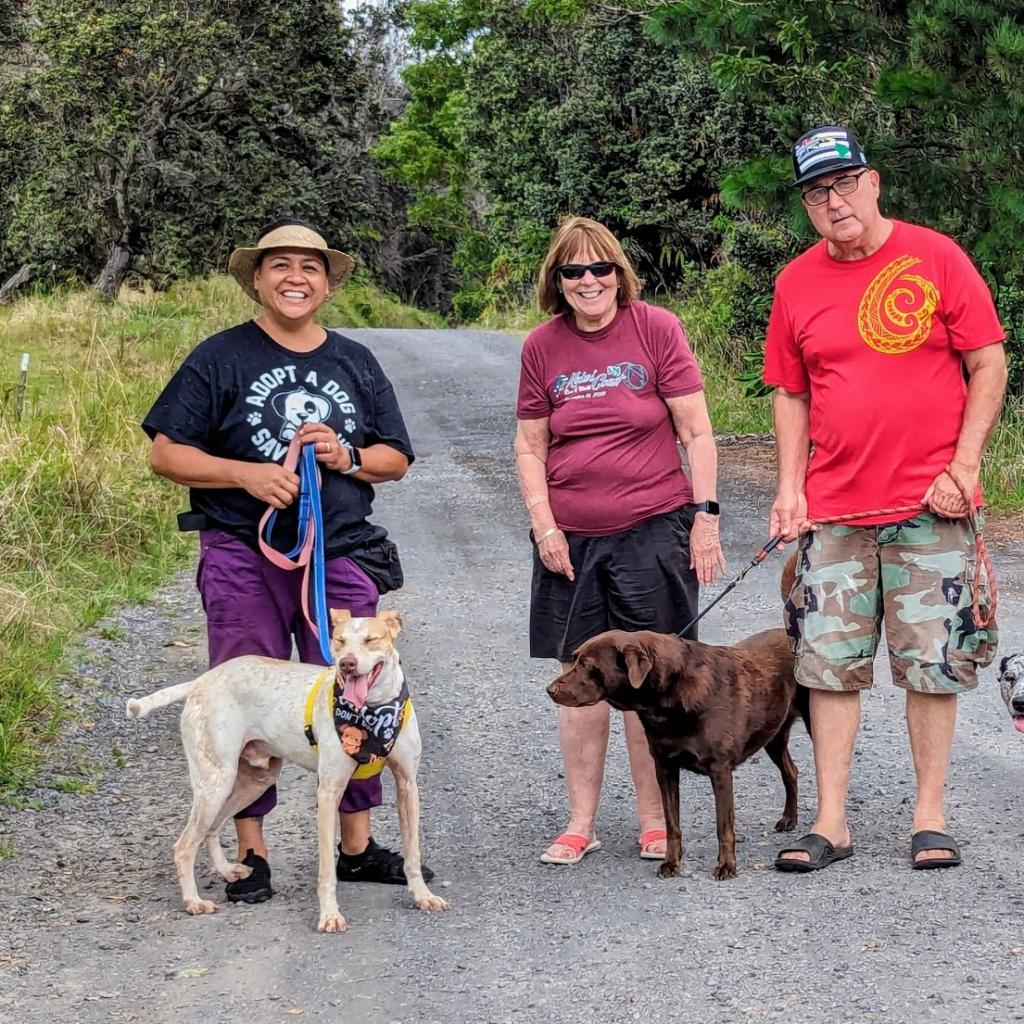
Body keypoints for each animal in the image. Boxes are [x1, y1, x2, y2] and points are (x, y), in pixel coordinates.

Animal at [128, 610, 448, 933]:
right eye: (339, 641)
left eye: (372, 640)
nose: (346, 663)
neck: (374, 713)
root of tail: (200, 681)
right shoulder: (328, 792)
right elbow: (327, 871)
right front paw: (329, 915)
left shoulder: (407, 785)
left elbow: (412, 853)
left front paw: (422, 896)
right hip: (216, 782)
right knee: (184, 845)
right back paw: (193, 901)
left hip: (251, 781)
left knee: (211, 829)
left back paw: (228, 871)